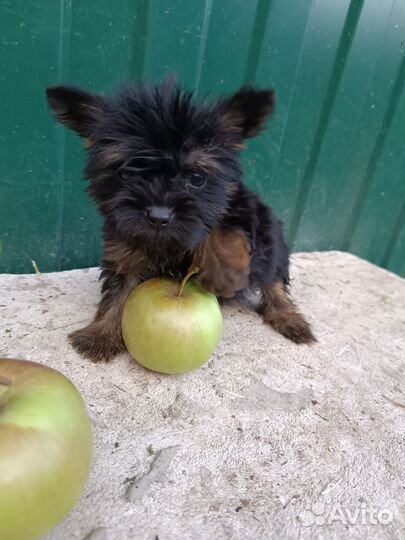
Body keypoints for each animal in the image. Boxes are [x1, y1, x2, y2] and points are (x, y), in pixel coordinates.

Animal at [45, 77, 314, 362]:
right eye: (127, 173)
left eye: (196, 178)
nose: (158, 217)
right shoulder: (123, 245)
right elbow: (118, 289)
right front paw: (102, 334)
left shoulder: (240, 206)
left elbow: (218, 225)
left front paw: (226, 270)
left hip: (272, 236)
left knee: (273, 276)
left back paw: (288, 317)